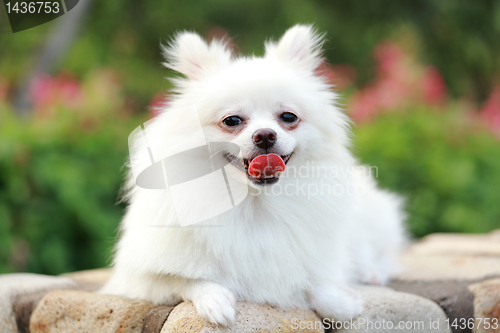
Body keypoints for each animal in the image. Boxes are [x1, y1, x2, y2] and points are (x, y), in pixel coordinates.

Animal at [101, 25, 406, 324]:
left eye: (288, 117)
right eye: (232, 121)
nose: (265, 135)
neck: (253, 202)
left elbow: (320, 286)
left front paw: (343, 301)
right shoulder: (138, 279)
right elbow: (185, 279)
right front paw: (214, 300)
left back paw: (373, 272)